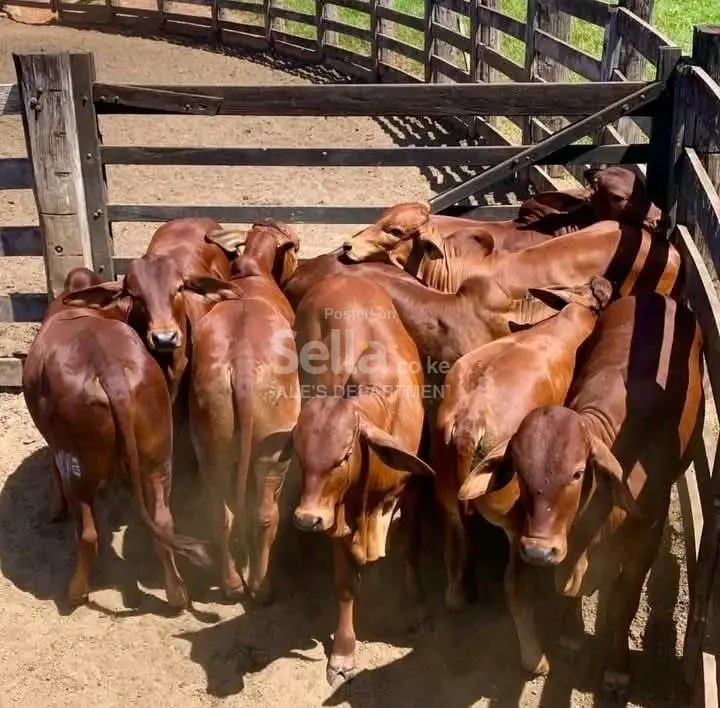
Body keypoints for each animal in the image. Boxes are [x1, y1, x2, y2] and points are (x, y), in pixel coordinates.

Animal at [23, 271, 213, 610]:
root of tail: (109, 371)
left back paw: (76, 591)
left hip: (78, 465)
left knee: (88, 534)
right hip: (158, 456)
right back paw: (176, 593)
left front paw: (55, 507)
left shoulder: (56, 445)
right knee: (163, 521)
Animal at [188, 225, 300, 602]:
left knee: (221, 515)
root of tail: (243, 367)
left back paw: (232, 584)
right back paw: (261, 586)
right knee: (265, 514)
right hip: (275, 449)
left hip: (212, 443)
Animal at [291, 274, 434, 687]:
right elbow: (344, 584)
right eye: (300, 456)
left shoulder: (413, 490)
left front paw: (416, 605)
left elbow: (410, 547)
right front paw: (342, 651)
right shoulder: (337, 515)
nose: (306, 519)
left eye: (342, 457)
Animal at [431, 276, 612, 611]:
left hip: (447, 496)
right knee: (513, 583)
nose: (604, 281)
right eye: (600, 295)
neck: (574, 313)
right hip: (515, 520)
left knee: (453, 560)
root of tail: (468, 422)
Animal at [458, 293, 704, 692]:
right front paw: (572, 632)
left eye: (577, 473)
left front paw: (617, 668)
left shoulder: (647, 537)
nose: (538, 551)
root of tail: (654, 296)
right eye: (519, 471)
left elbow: (622, 603)